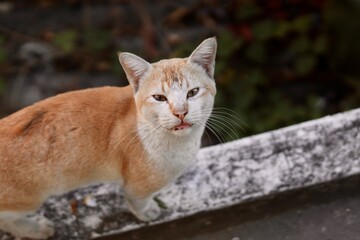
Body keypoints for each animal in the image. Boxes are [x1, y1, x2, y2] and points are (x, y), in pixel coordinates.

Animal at [0, 37, 217, 238]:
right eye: (159, 98)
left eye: (193, 92)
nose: (181, 112)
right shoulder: (136, 186)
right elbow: (138, 201)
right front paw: (147, 212)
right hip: (26, 200)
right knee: (6, 220)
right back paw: (36, 229)